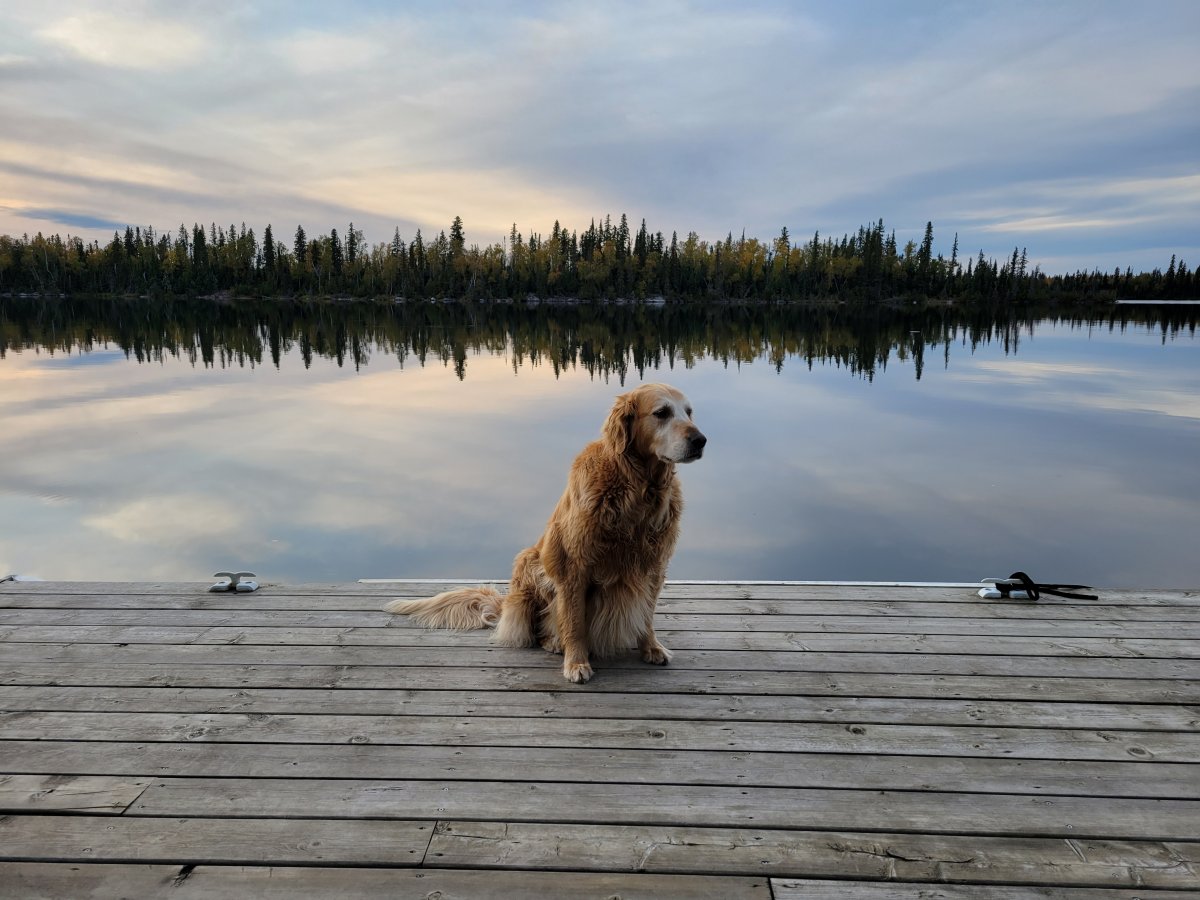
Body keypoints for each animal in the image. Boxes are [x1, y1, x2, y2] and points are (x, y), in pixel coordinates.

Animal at [381, 381, 700, 681]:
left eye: (689, 411)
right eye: (661, 413)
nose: (701, 440)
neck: (637, 490)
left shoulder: (653, 566)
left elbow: (646, 615)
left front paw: (652, 647)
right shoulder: (574, 567)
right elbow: (574, 622)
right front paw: (576, 662)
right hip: (529, 562)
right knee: (537, 629)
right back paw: (554, 643)